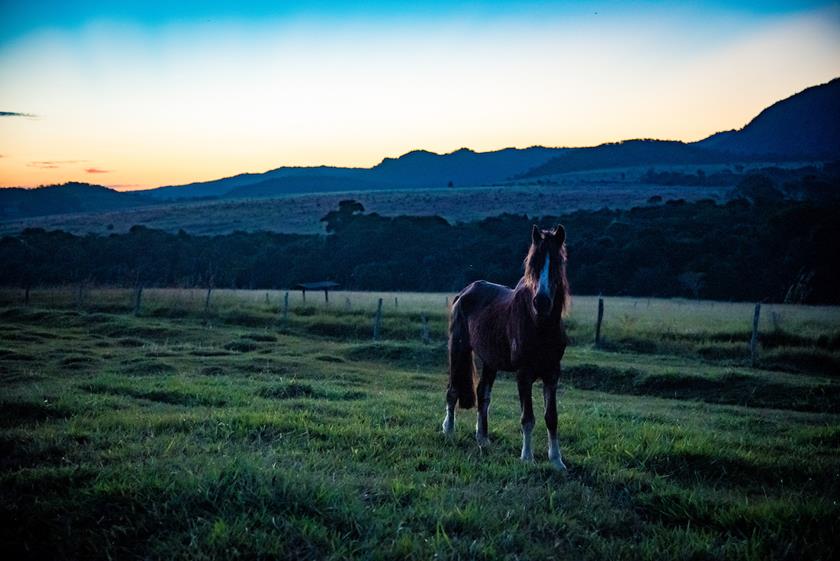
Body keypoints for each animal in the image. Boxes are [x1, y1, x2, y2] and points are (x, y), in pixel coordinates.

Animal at [440, 223, 572, 468]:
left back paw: (482, 438)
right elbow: (528, 418)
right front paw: (527, 458)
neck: (539, 324)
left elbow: (552, 418)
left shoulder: (552, 373)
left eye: (557, 264)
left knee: (483, 394)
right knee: (453, 390)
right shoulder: (524, 373)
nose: (541, 301)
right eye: (533, 263)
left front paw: (557, 461)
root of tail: (464, 293)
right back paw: (449, 430)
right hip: (458, 349)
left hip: (490, 360)